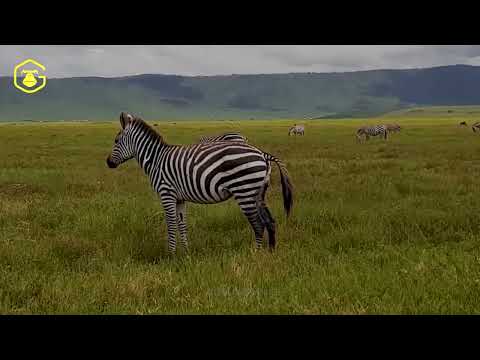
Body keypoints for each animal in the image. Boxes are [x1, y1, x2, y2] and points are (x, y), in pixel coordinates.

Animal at [106, 112, 292, 253]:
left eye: (116, 141)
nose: (108, 163)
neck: (156, 160)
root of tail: (262, 154)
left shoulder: (166, 194)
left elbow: (171, 225)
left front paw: (170, 255)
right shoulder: (179, 198)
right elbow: (182, 225)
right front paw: (186, 253)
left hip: (244, 191)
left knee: (258, 224)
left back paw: (256, 253)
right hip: (258, 193)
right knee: (270, 221)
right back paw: (271, 252)